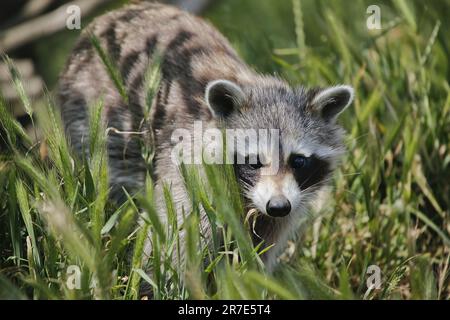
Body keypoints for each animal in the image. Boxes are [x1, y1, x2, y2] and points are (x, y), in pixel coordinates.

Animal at [58, 2, 356, 272]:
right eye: (254, 161)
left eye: (299, 161)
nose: (278, 205)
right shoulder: (189, 170)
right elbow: (172, 238)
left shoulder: (286, 204)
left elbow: (261, 247)